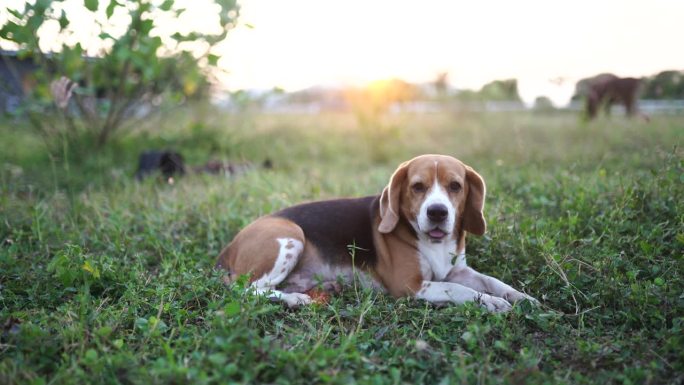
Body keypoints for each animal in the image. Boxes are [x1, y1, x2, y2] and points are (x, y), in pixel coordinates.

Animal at [216, 154, 536, 310]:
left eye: (455, 186)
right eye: (417, 187)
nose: (437, 212)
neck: (433, 243)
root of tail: (229, 246)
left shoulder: (457, 270)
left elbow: (491, 281)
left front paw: (520, 297)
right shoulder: (410, 286)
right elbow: (459, 290)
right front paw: (491, 303)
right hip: (291, 234)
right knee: (247, 290)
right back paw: (295, 300)